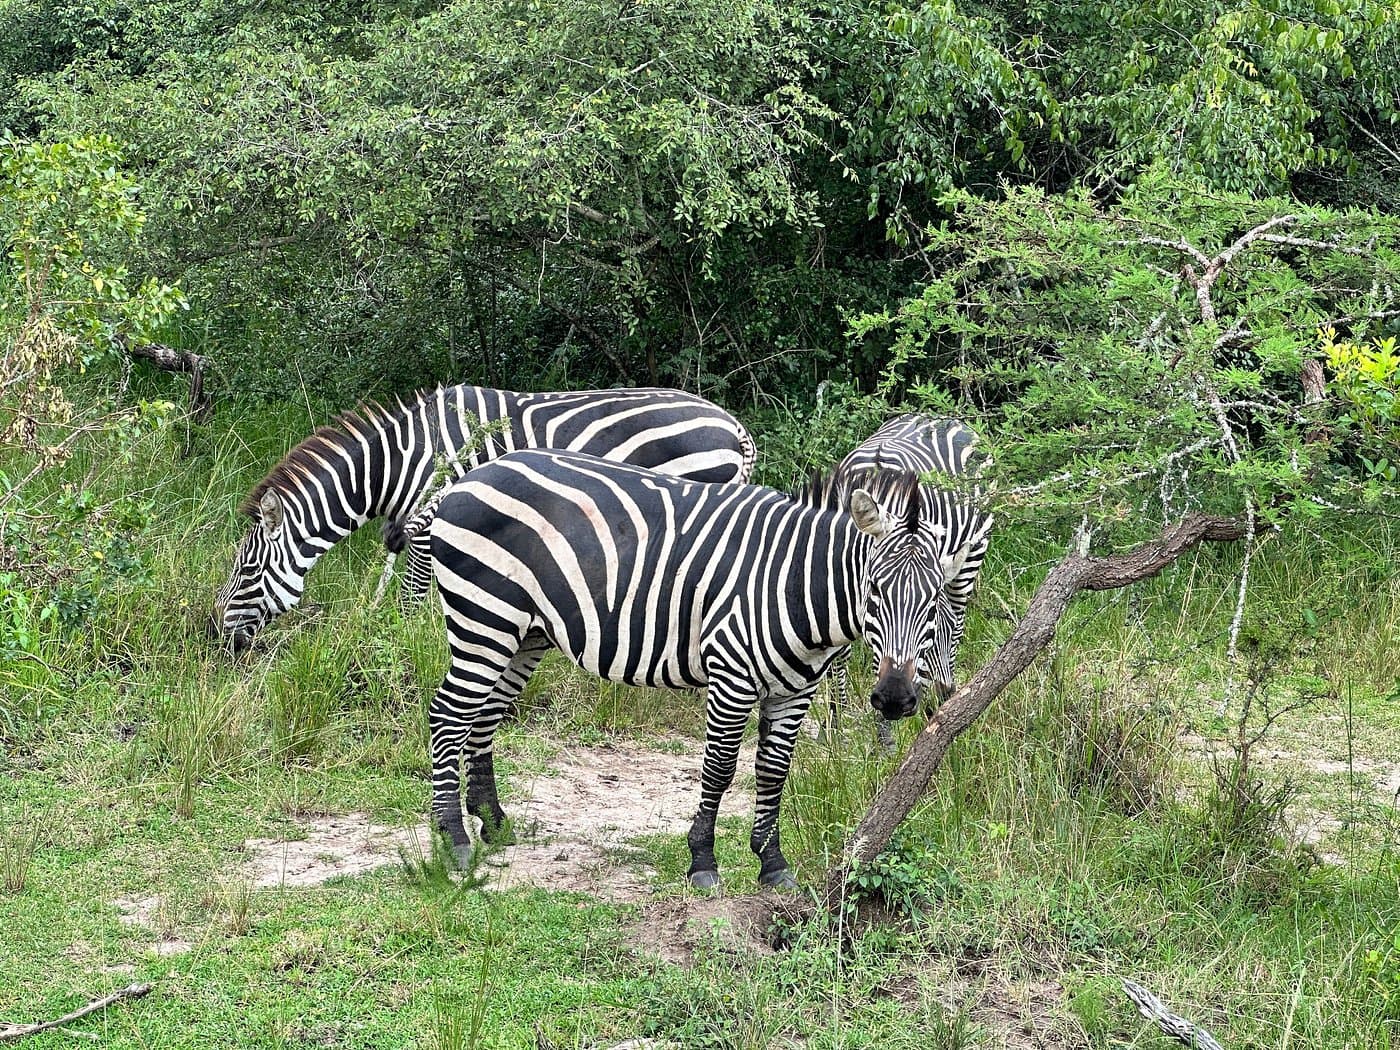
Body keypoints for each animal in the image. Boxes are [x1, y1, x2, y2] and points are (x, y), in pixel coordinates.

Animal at [210, 385, 756, 653]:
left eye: (247, 571)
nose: (216, 639)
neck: (399, 463)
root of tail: (734, 425)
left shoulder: (434, 519)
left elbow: (412, 597)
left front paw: (399, 646)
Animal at [425, 448, 956, 890]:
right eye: (875, 590)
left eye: (935, 600)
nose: (894, 698)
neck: (795, 583)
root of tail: (468, 479)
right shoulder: (731, 675)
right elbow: (719, 770)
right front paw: (703, 861)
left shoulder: (795, 690)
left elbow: (773, 772)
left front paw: (773, 864)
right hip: (485, 617)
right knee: (448, 716)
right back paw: (455, 840)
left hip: (525, 633)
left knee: (484, 716)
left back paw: (493, 822)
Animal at [817, 414, 993, 749]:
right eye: (874, 588)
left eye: (929, 603)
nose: (896, 700)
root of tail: (943, 418)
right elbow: (840, 657)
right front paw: (835, 726)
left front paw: (884, 737)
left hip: (971, 555)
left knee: (955, 624)